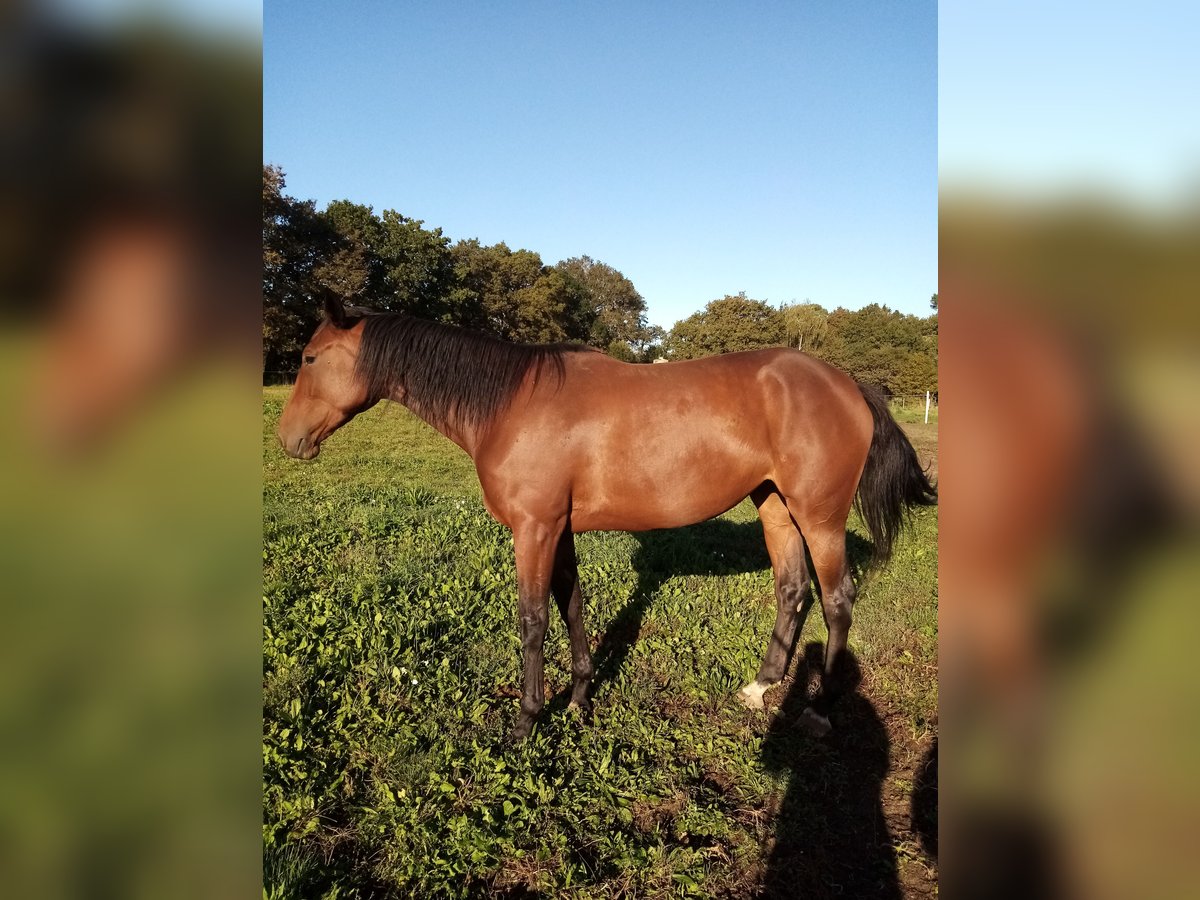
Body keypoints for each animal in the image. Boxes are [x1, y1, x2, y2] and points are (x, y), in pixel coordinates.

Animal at [276, 296, 931, 739]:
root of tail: (849, 384)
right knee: (792, 590)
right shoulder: (557, 530)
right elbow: (571, 606)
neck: (511, 404)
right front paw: (579, 699)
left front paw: (527, 720)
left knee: (837, 600)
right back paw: (761, 686)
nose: (288, 440)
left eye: (309, 357)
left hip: (819, 518)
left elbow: (534, 619)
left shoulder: (534, 529)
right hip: (774, 506)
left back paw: (819, 710)